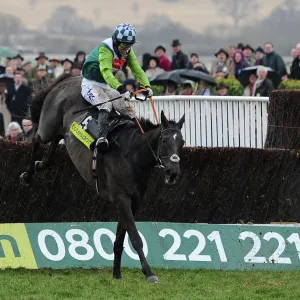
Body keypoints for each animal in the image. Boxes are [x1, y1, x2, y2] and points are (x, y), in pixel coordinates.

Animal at [19, 73, 184, 284]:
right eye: (163, 141)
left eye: (182, 143)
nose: (173, 172)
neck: (132, 154)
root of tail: (69, 79)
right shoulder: (121, 198)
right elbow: (135, 237)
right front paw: (149, 273)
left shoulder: (134, 201)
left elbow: (120, 238)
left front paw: (116, 273)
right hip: (48, 124)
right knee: (36, 138)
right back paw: (27, 174)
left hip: (61, 130)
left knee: (54, 145)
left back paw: (40, 164)